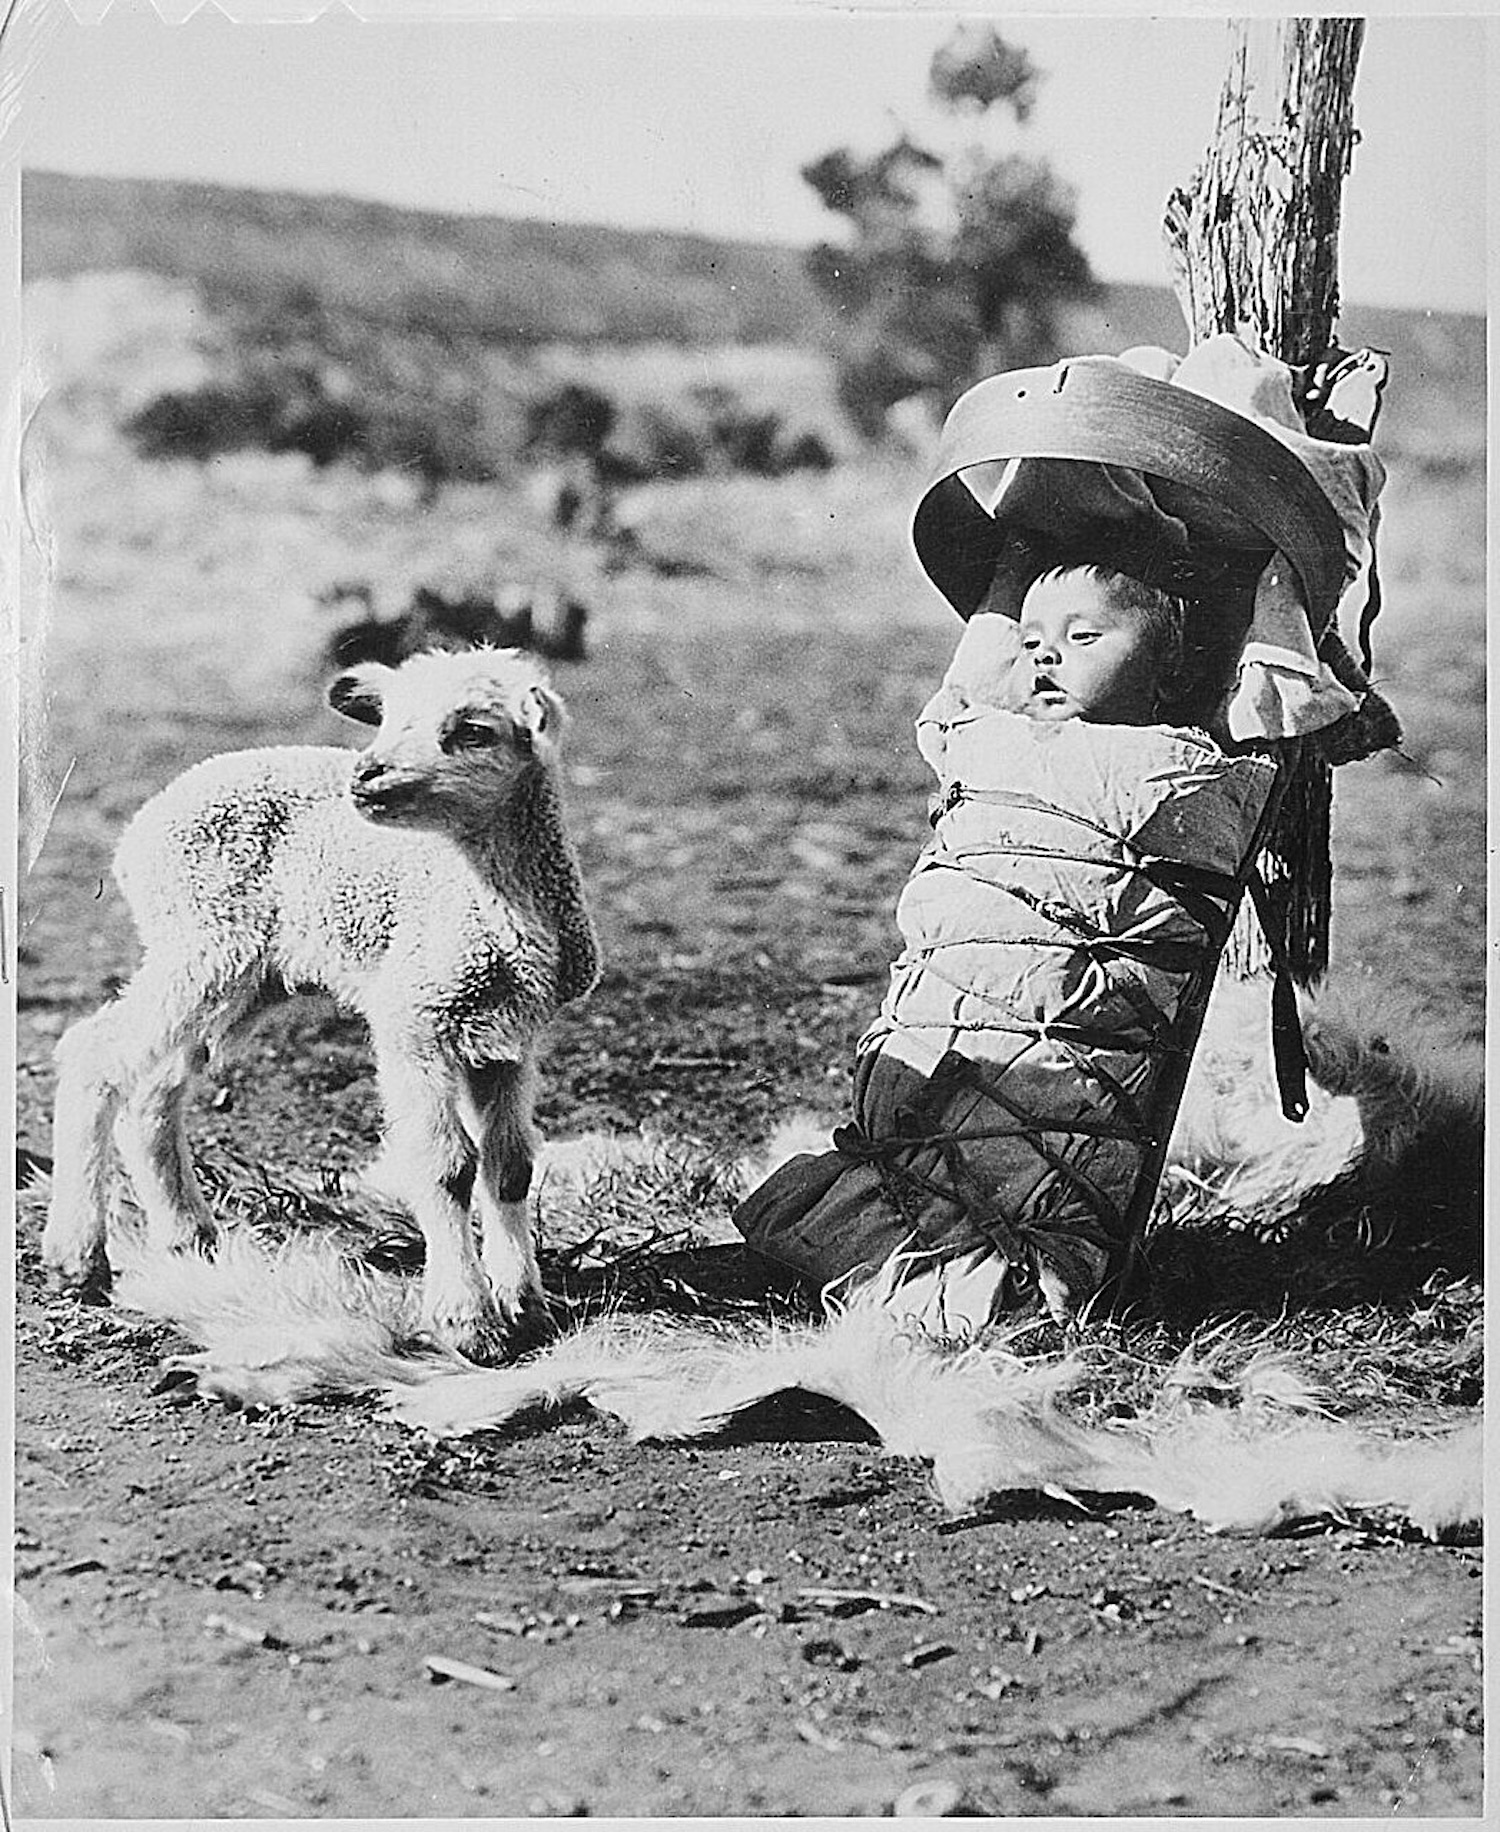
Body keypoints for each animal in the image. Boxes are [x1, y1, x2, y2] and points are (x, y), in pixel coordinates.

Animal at [41, 647, 601, 1359]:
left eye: (473, 730)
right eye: (386, 719)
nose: (367, 777)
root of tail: (142, 826)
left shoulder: (505, 1038)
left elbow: (511, 1167)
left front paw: (526, 1307)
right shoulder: (412, 1017)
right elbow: (447, 1167)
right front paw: (468, 1322)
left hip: (246, 975)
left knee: (155, 1086)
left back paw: (190, 1238)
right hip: (200, 941)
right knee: (94, 1052)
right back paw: (76, 1258)